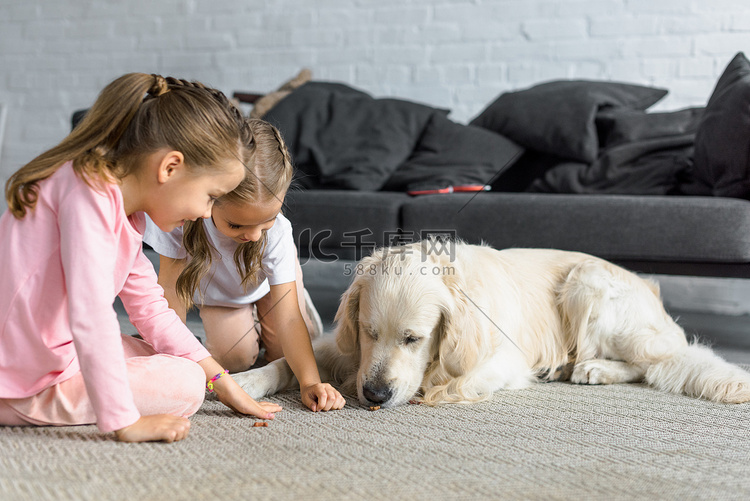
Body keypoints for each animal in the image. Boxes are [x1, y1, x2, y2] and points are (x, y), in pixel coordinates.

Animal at [234, 239, 750, 406]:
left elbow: (453, 381)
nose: (375, 395)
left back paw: (592, 368)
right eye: (368, 332)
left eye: (414, 339)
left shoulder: (505, 359)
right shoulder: (349, 350)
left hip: (587, 284)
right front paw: (247, 381)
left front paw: (430, 388)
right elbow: (287, 363)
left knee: (658, 358)